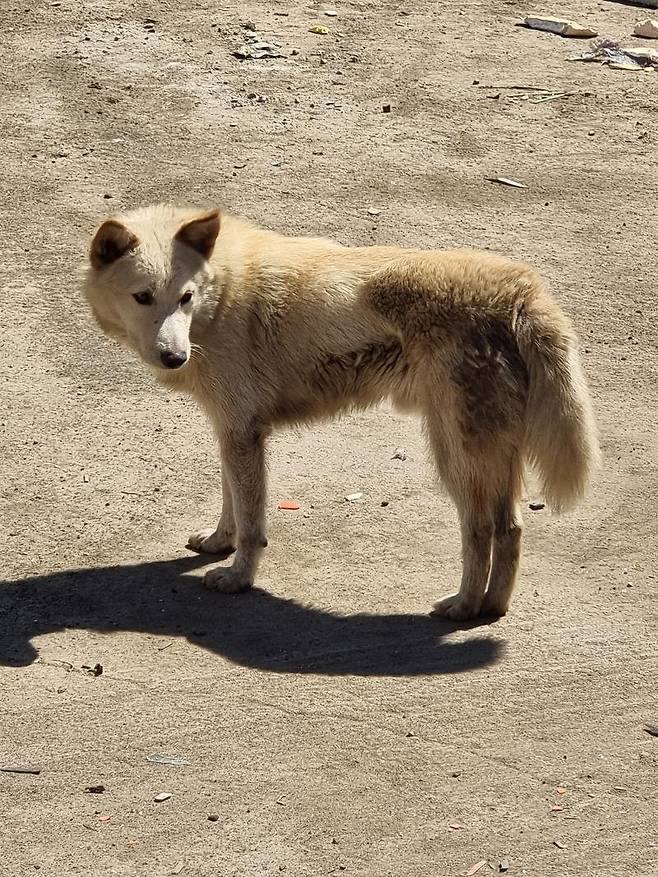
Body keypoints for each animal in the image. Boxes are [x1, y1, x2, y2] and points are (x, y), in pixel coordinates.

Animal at [82, 204, 596, 624]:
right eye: (143, 297)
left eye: (185, 298)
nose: (175, 358)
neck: (223, 292)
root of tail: (520, 290)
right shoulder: (231, 431)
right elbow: (231, 504)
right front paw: (217, 544)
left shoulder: (243, 433)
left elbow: (252, 524)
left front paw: (238, 577)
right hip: (490, 459)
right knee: (511, 529)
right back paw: (492, 608)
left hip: (455, 459)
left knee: (481, 530)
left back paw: (464, 607)